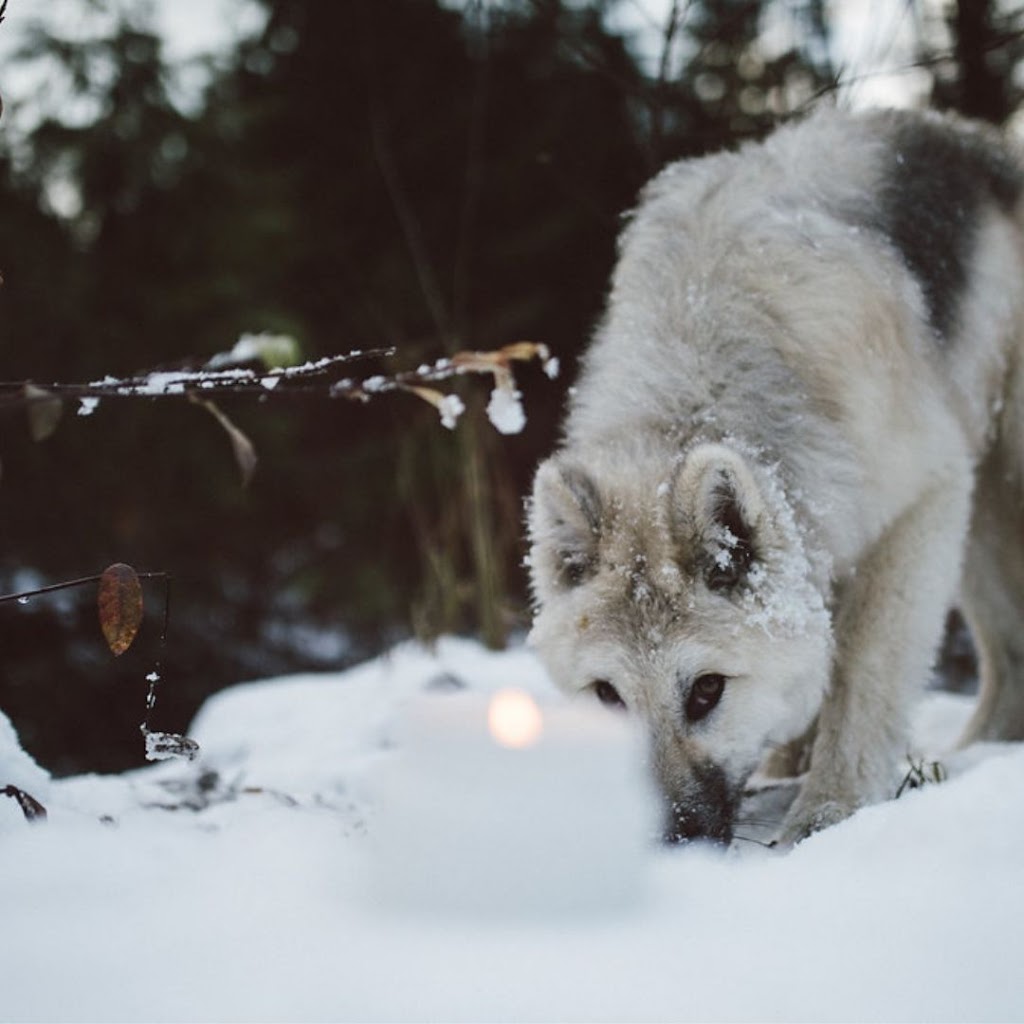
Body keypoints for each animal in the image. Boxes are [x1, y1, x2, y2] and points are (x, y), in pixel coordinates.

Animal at [524, 105, 1024, 847]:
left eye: (708, 690)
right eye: (608, 697)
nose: (672, 842)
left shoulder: (921, 507)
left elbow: (861, 680)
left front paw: (828, 814)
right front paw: (792, 767)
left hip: (988, 498)